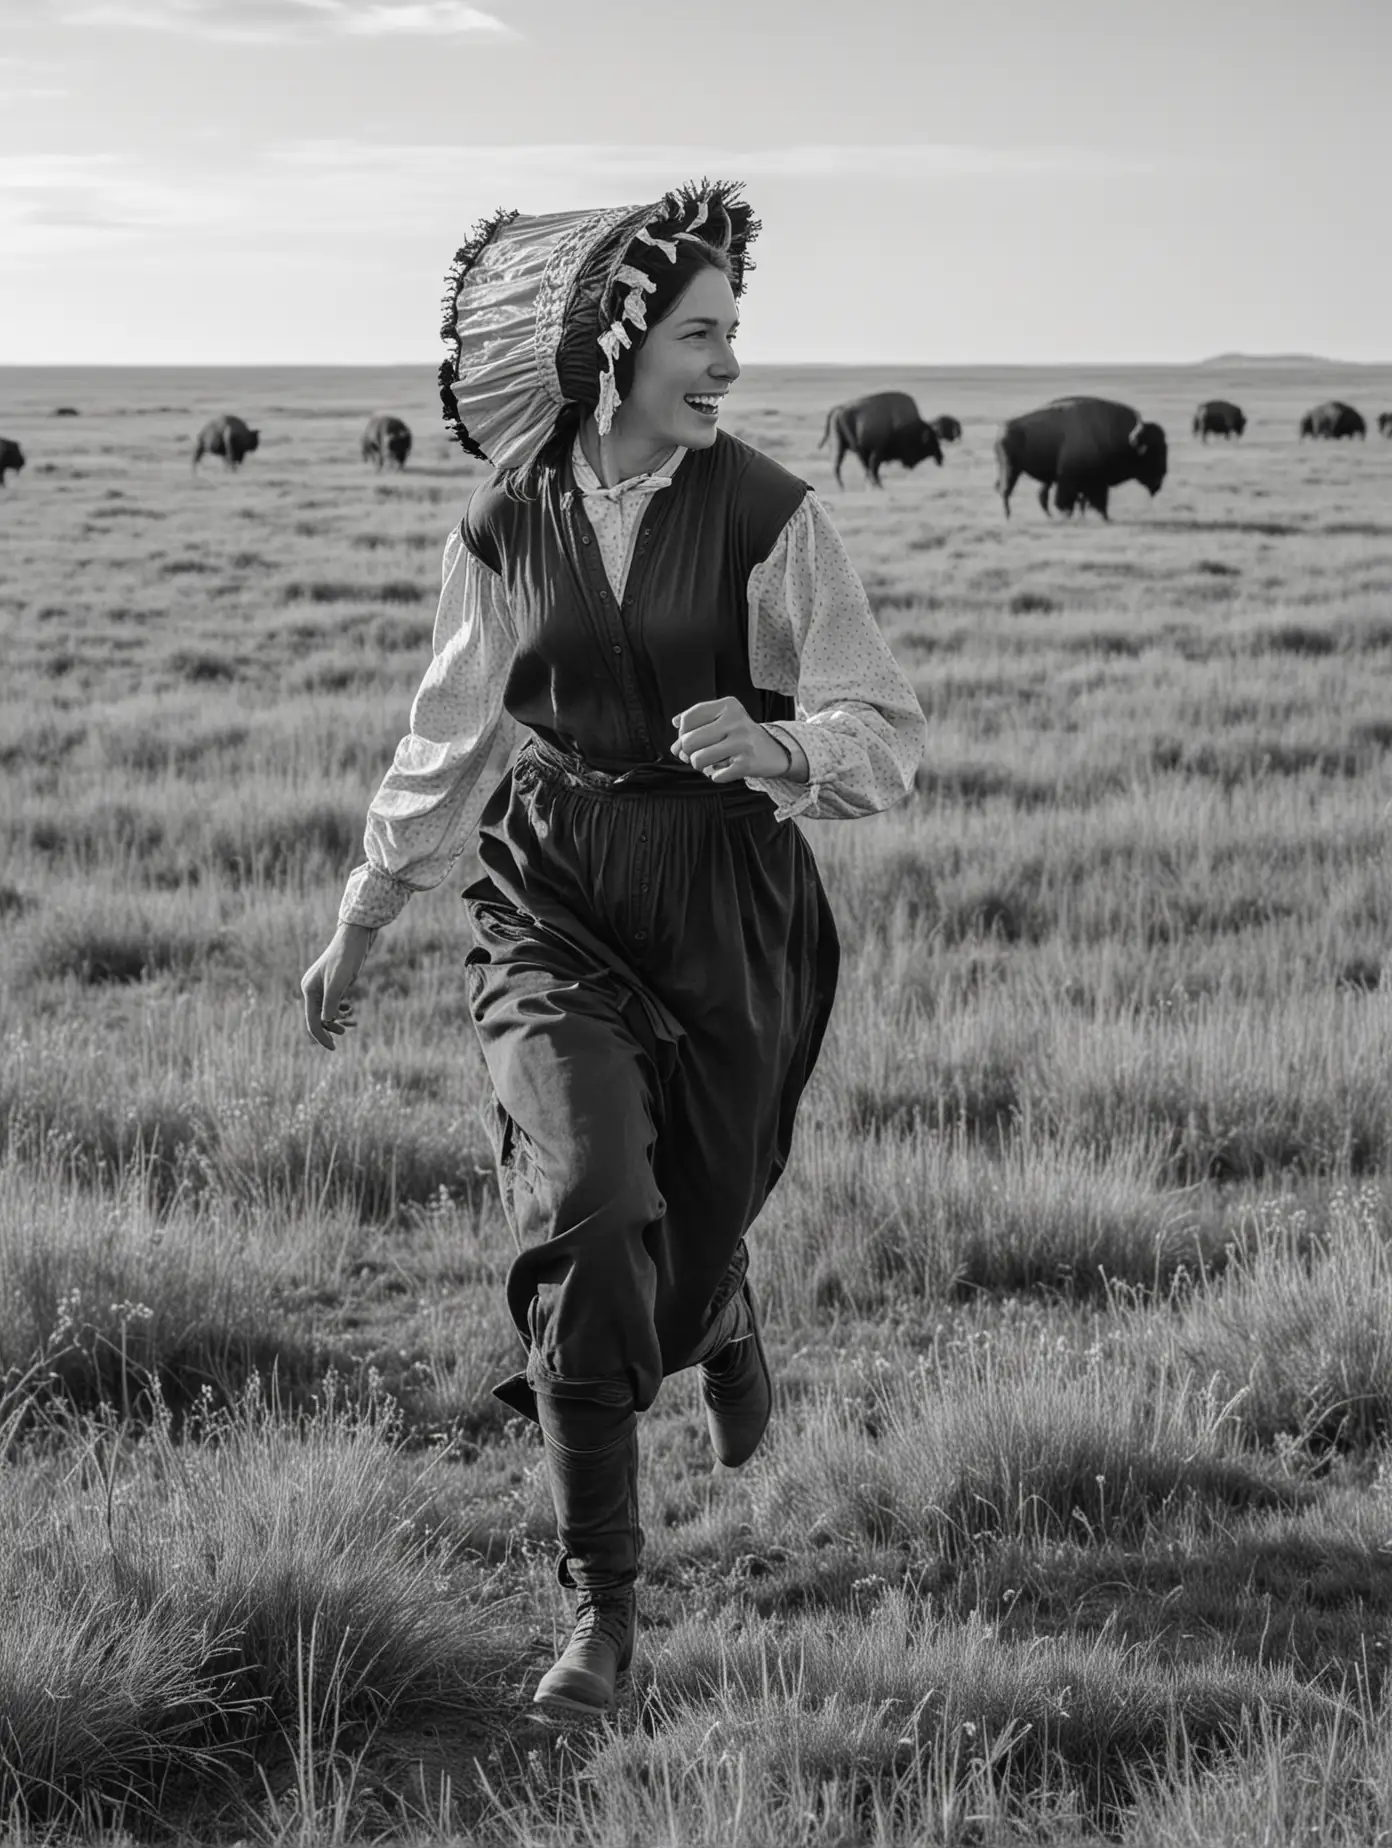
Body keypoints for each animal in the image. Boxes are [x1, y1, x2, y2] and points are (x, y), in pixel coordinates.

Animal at [813, 388, 946, 487]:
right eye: (931, 441)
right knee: (838, 467)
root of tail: (838, 409)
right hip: (841, 447)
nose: (940, 457)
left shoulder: (871, 453)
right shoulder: (877, 451)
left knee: (837, 466)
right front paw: (878, 485)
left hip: (840, 447)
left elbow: (871, 469)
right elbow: (873, 469)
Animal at [990, 399, 1168, 521]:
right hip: (1011, 469)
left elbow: (1094, 500)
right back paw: (1008, 516)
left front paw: (1103, 517)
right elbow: (1073, 500)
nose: (1163, 473)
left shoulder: (1095, 482)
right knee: (1006, 491)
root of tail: (1002, 429)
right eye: (1154, 452)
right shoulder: (1073, 481)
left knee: (1035, 495)